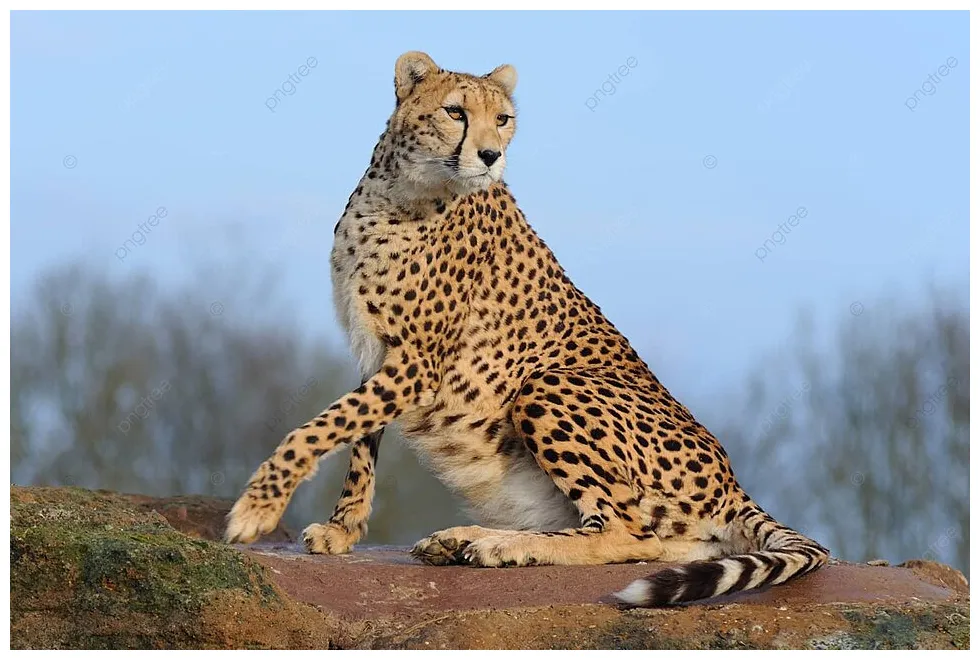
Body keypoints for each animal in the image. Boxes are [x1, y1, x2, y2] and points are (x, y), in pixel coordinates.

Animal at [225, 51, 829, 607]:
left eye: (503, 119)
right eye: (455, 112)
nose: (491, 155)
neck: (401, 192)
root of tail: (732, 479)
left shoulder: (416, 364)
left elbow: (322, 426)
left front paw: (258, 507)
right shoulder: (377, 354)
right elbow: (358, 438)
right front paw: (342, 527)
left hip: (548, 383)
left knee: (630, 534)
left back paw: (498, 546)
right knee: (657, 540)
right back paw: (462, 539)